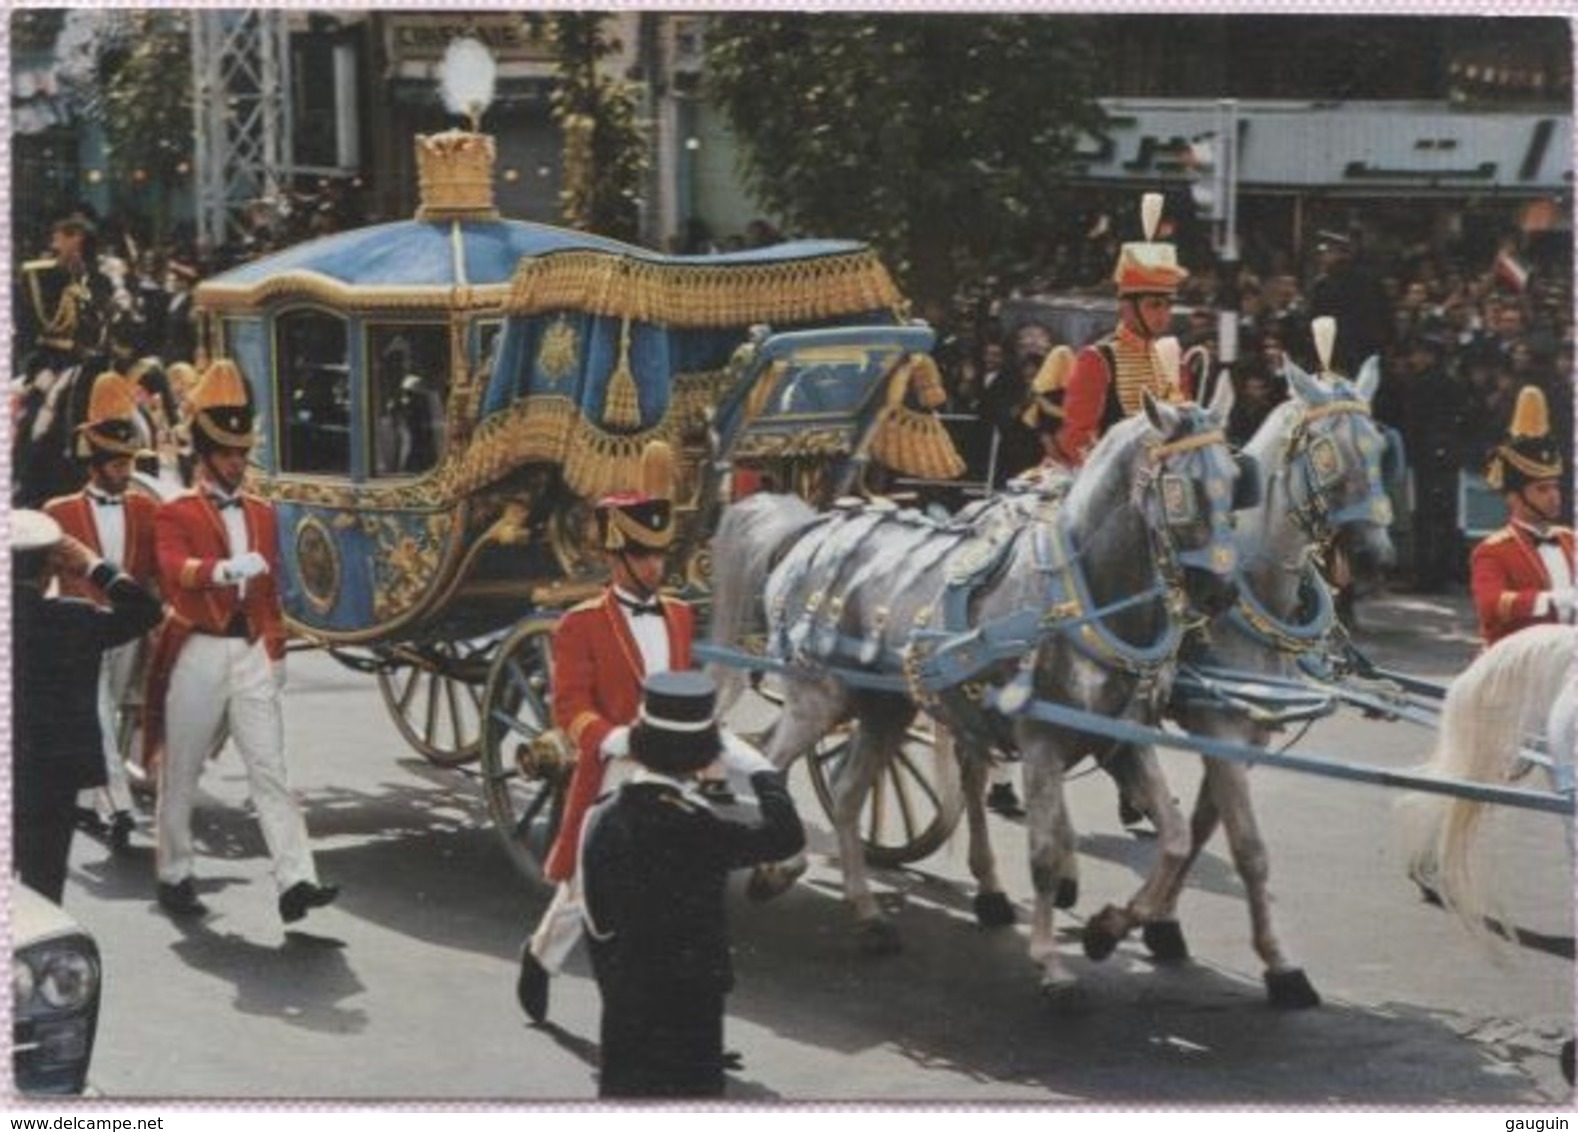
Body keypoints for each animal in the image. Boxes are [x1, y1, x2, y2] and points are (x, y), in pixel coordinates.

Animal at [713, 386, 1243, 997]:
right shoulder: (1040, 741)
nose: (1221, 593)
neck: (1081, 595)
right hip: (818, 693)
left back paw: (867, 913)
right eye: (1183, 486)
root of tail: (811, 530)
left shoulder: (1122, 743)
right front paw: (1052, 963)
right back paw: (777, 870)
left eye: (1237, 478)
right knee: (771, 765)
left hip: (883, 707)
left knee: (844, 794)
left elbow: (1176, 838)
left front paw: (1109, 928)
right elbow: (1044, 852)